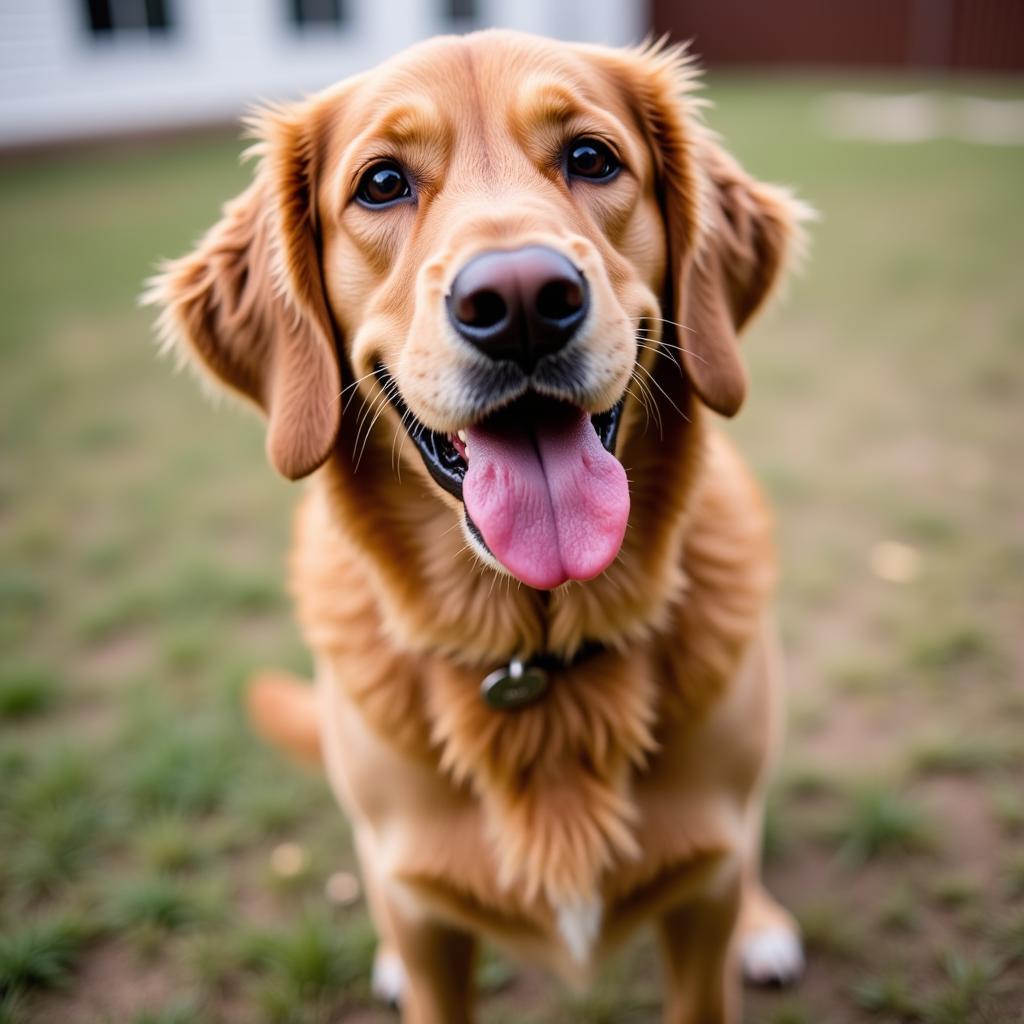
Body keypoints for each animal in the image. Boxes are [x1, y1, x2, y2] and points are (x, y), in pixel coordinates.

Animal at [149, 29, 806, 1024]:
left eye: (591, 158)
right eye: (381, 183)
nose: (524, 300)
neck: (536, 658)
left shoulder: (703, 905)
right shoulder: (430, 931)